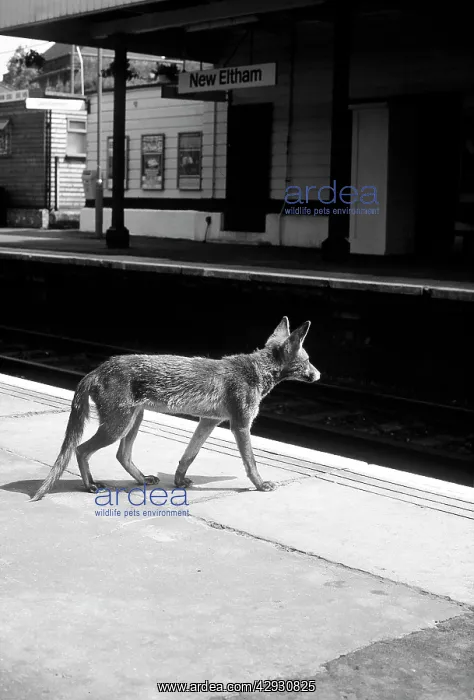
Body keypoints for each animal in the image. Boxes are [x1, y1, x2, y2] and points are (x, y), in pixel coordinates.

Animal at [30, 316, 320, 501]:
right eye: (308, 360)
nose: (319, 375)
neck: (255, 371)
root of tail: (99, 369)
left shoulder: (208, 421)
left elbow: (188, 456)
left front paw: (179, 482)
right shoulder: (240, 425)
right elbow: (251, 463)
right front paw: (260, 485)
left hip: (133, 421)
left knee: (122, 456)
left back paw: (142, 479)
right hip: (117, 427)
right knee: (81, 450)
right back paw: (89, 485)